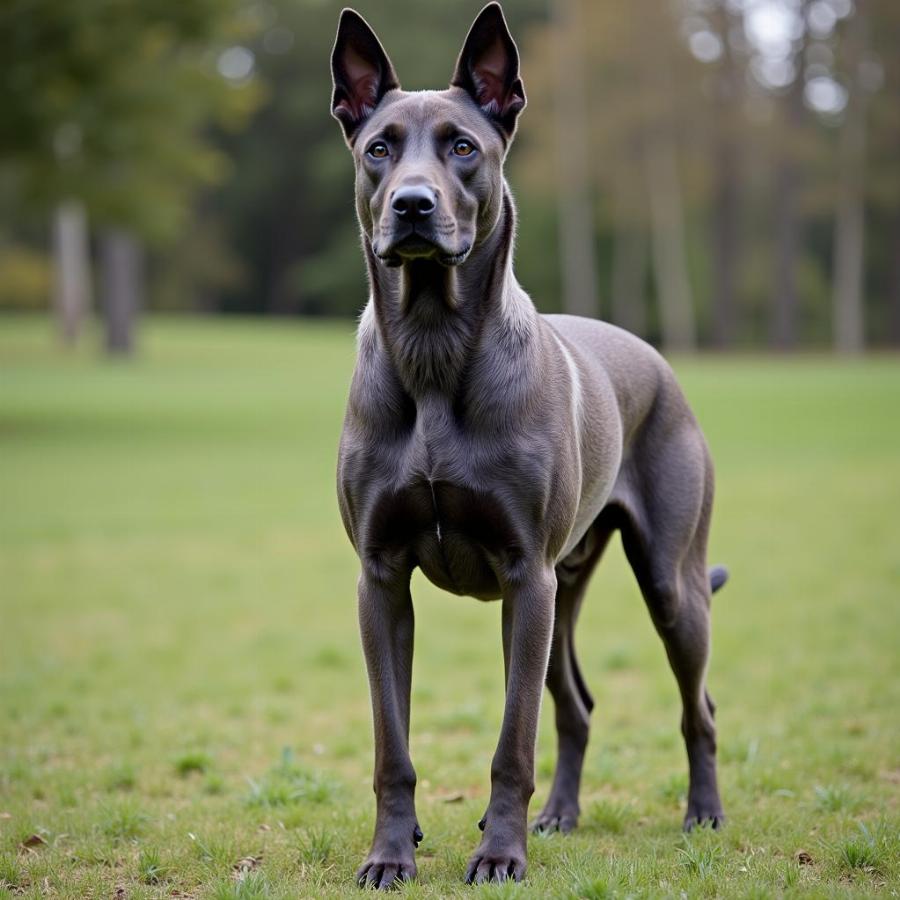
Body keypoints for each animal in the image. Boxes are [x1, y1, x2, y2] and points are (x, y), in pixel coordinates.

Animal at [330, 1, 724, 884]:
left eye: (463, 147)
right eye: (379, 149)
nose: (412, 205)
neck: (434, 345)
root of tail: (659, 363)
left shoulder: (525, 574)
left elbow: (513, 741)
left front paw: (499, 854)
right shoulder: (380, 579)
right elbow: (390, 743)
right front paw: (389, 855)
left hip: (663, 581)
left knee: (699, 705)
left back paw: (704, 813)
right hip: (565, 585)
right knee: (575, 705)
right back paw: (562, 816)